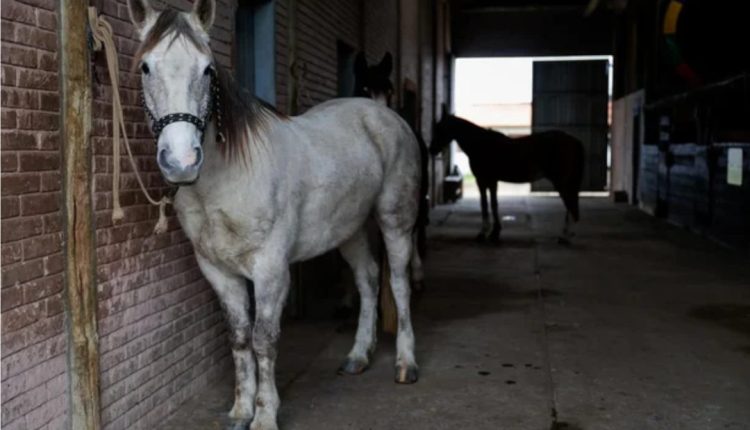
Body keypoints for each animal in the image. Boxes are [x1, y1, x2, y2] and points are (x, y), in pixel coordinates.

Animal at [128, 1, 424, 428]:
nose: (181, 162)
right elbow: (238, 337)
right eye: (146, 68)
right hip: (348, 229)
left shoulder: (270, 270)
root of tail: (385, 115)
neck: (226, 179)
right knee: (368, 281)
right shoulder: (217, 271)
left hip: (395, 220)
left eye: (208, 69)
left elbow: (264, 340)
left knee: (398, 284)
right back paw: (357, 356)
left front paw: (265, 415)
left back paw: (405, 363)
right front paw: (240, 410)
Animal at [428, 114, 588, 244]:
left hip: (561, 182)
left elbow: (486, 204)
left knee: (570, 204)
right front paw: (494, 233)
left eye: (440, 129)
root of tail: (573, 141)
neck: (481, 144)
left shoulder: (483, 180)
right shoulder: (492, 181)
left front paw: (484, 234)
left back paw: (566, 237)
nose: (431, 150)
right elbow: (493, 204)